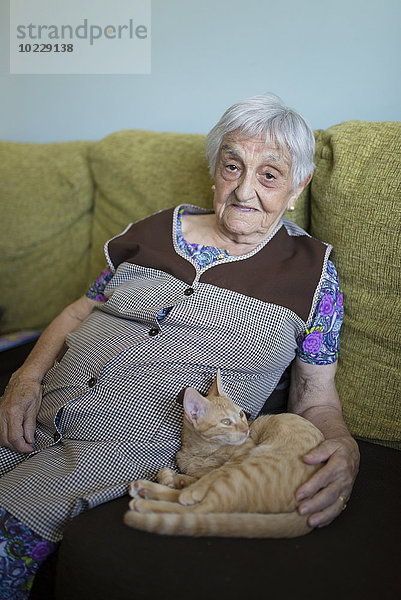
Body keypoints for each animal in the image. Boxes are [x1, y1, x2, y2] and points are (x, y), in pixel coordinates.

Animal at [125, 370, 324, 540]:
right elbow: (192, 476)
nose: (246, 429)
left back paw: (144, 503)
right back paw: (146, 489)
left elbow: (215, 472)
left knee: (199, 510)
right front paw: (172, 477)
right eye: (226, 422)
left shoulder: (241, 456)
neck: (203, 452)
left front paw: (187, 485)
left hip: (247, 469)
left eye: (241, 414)